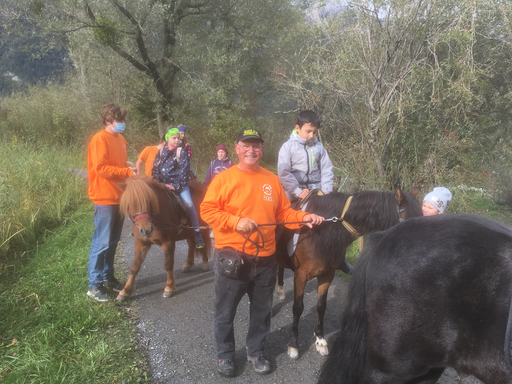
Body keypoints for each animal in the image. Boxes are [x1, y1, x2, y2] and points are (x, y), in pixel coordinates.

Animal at [274, 188, 422, 358]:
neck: (321, 233)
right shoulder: (301, 276)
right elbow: (298, 308)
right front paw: (293, 345)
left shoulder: (327, 274)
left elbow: (321, 306)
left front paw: (320, 340)